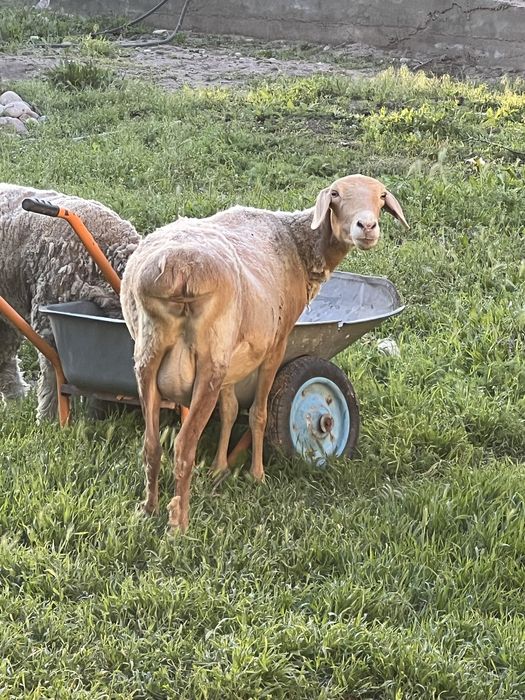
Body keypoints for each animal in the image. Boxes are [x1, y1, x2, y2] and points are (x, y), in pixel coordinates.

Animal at [121, 174, 409, 531]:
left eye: (381, 197)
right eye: (336, 194)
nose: (367, 226)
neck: (297, 245)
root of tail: (177, 270)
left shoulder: (237, 358)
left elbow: (230, 410)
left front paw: (219, 469)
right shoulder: (276, 345)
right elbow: (259, 413)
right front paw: (256, 475)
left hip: (149, 358)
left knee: (151, 444)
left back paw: (148, 510)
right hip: (208, 363)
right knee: (184, 446)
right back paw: (179, 524)